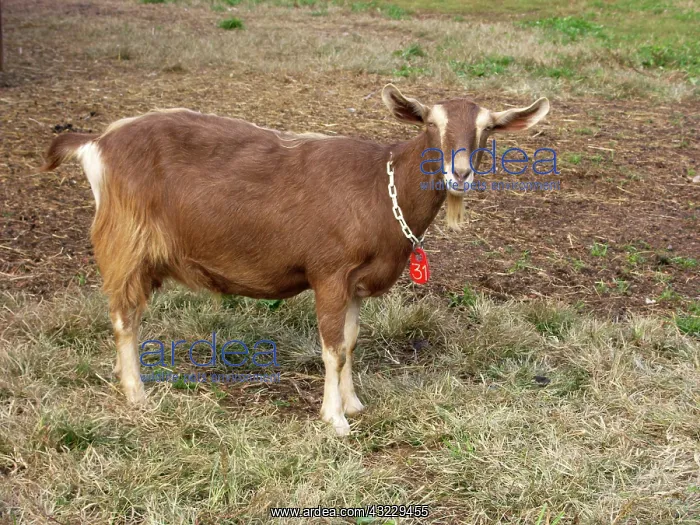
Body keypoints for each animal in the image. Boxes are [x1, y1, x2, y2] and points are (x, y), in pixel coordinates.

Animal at [42, 84, 550, 435]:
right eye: (428, 124)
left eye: (487, 129)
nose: (459, 174)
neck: (380, 187)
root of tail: (98, 142)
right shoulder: (330, 272)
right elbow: (332, 347)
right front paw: (335, 420)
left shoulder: (355, 283)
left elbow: (350, 342)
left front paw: (352, 403)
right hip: (125, 241)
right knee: (124, 317)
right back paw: (136, 393)